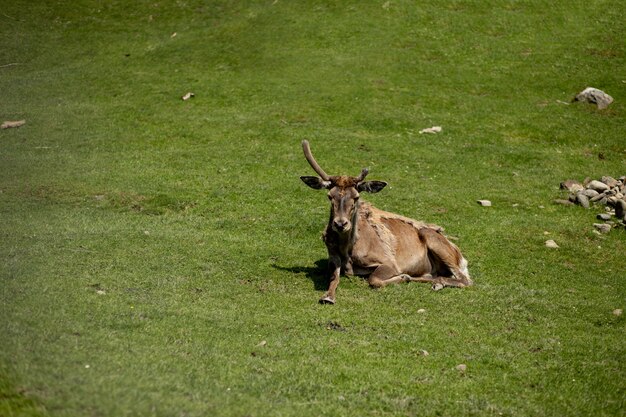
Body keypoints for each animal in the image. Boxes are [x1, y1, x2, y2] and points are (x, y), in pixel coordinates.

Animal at [300, 140, 470, 302]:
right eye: (330, 196)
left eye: (356, 197)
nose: (340, 224)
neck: (348, 253)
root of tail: (460, 256)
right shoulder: (332, 256)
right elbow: (334, 277)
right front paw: (328, 297)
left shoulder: (389, 261)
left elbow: (374, 279)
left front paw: (402, 276)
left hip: (436, 242)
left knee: (465, 280)